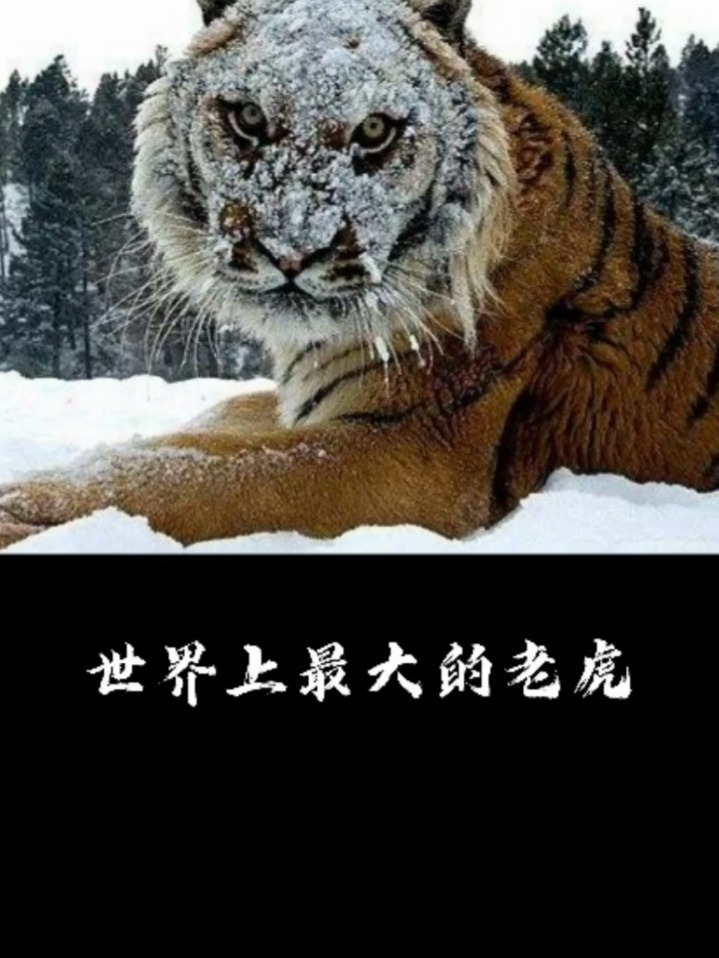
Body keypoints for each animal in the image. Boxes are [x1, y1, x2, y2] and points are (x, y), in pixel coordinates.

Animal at [0, 0, 717, 550]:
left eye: (374, 130)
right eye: (249, 118)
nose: (292, 250)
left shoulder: (409, 449)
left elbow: (187, 476)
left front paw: (18, 513)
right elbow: (198, 428)